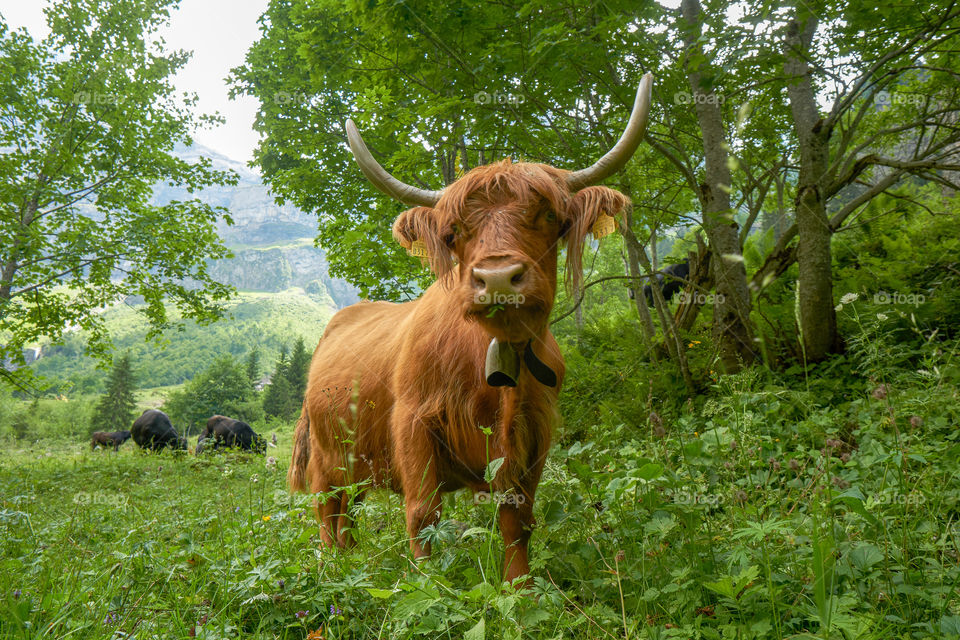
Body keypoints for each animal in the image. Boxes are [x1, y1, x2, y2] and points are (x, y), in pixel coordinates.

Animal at [288, 72, 652, 584]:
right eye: (454, 231)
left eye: (549, 217)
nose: (497, 277)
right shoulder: (412, 422)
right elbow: (423, 514)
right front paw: (428, 586)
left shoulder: (532, 432)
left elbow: (518, 517)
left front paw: (520, 585)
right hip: (325, 455)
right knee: (328, 510)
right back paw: (333, 571)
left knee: (350, 514)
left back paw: (353, 562)